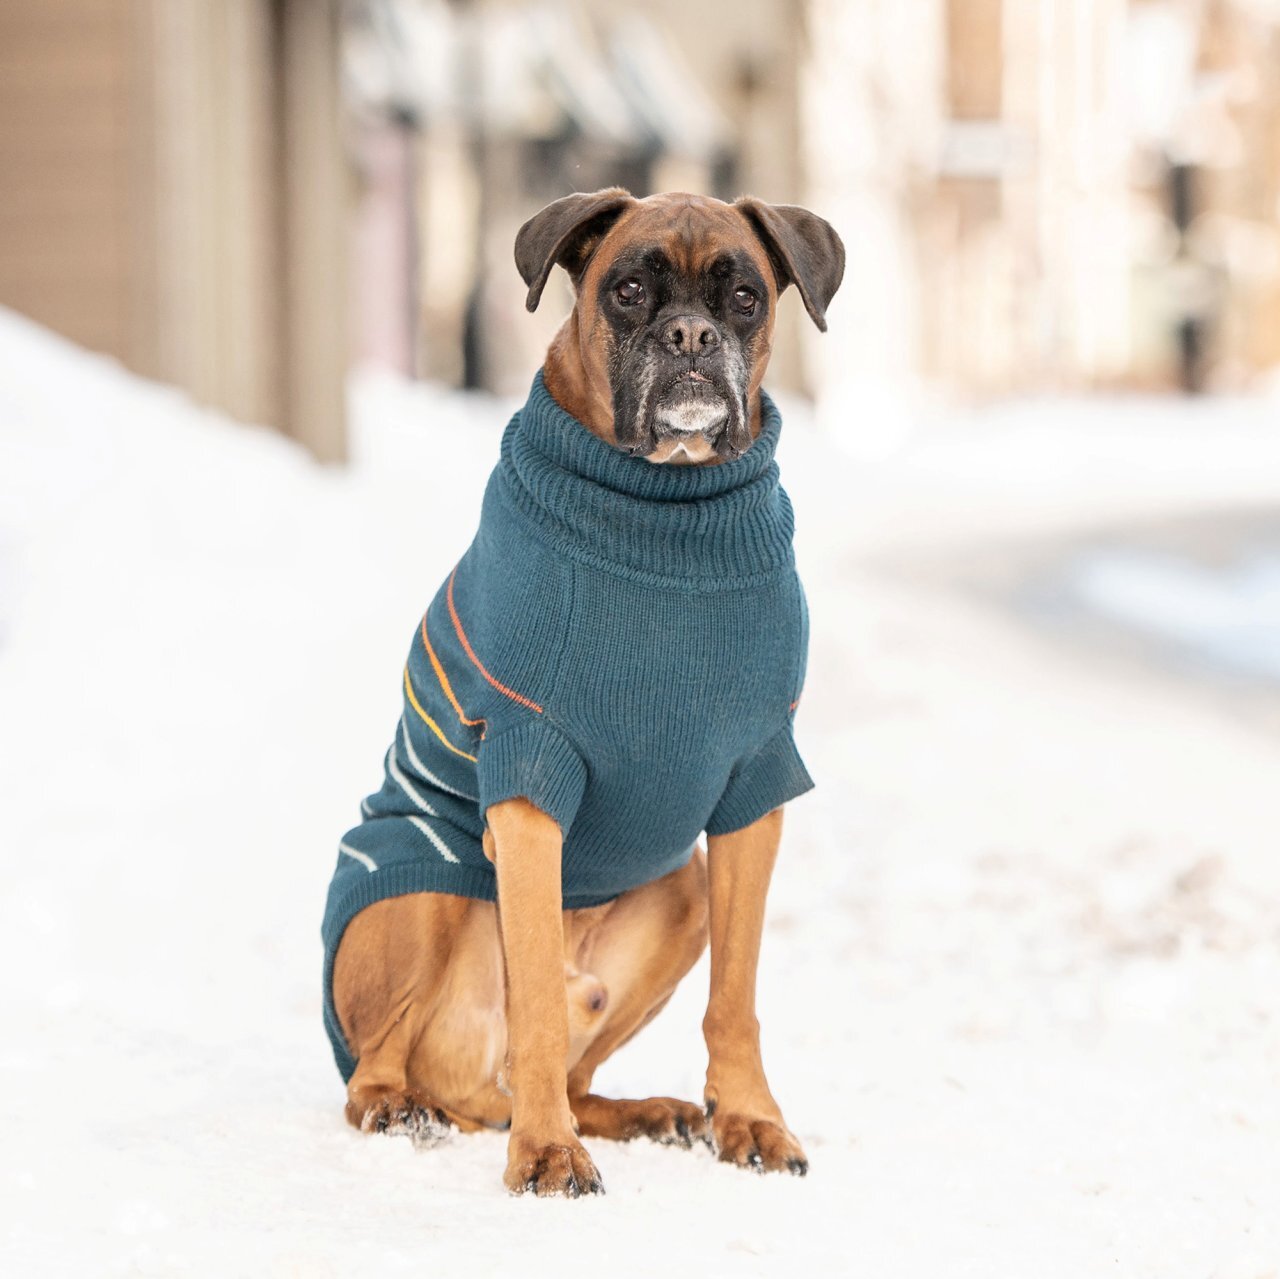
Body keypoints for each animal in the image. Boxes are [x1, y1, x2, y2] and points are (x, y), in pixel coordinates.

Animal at [322, 189, 839, 1198]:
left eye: (745, 297)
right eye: (629, 289)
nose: (689, 334)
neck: (667, 514)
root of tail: (465, 1095)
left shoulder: (755, 785)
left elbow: (737, 998)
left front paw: (750, 1119)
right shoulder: (529, 773)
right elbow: (535, 1004)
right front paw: (547, 1153)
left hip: (681, 888)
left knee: (569, 1072)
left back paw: (641, 1112)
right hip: (423, 888)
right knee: (387, 1061)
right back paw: (405, 1106)